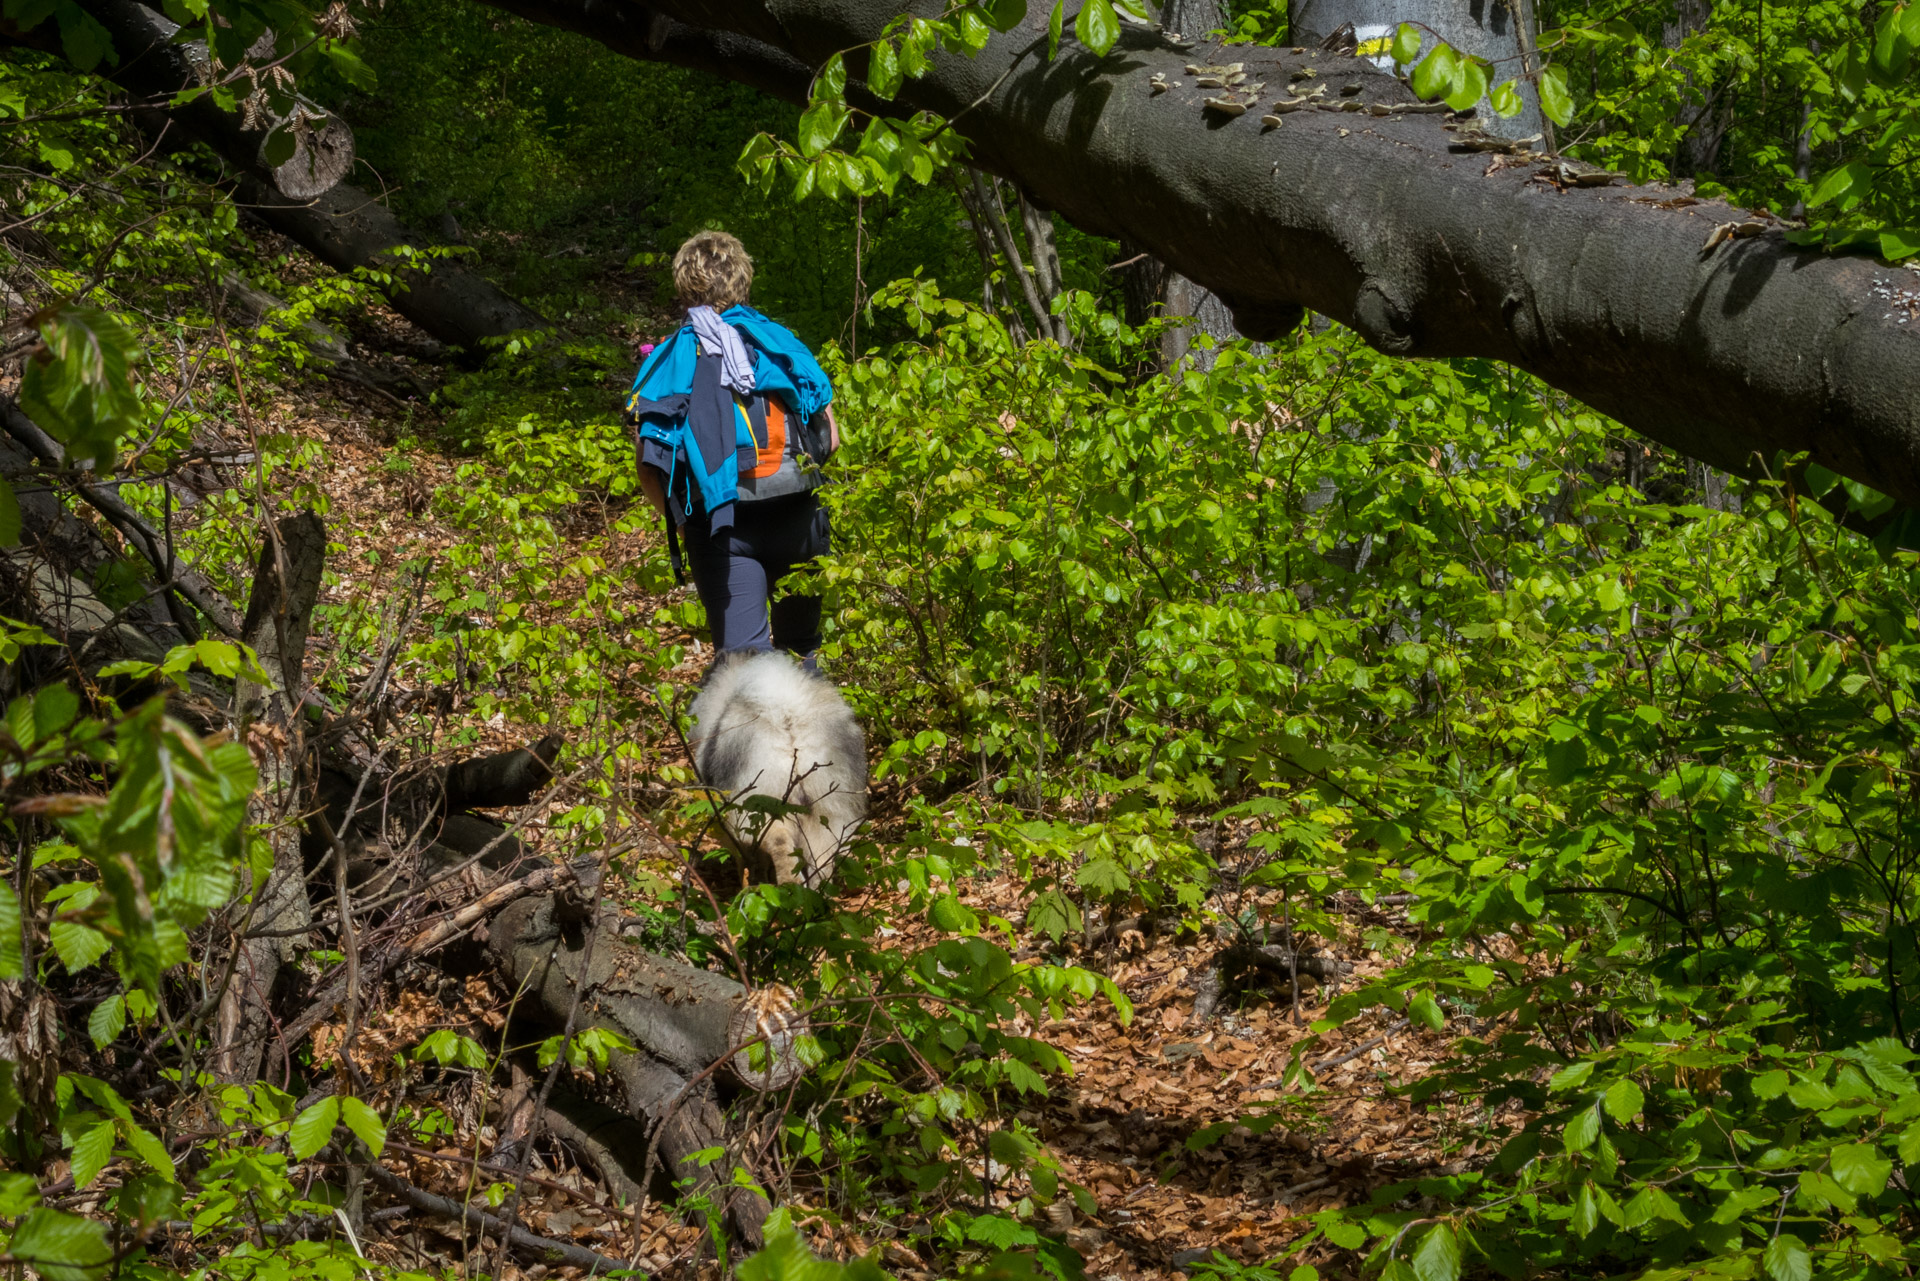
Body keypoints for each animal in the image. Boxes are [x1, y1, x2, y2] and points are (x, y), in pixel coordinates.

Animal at [687, 652, 867, 891]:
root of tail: (788, 717)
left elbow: (744, 861)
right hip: (829, 814)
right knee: (822, 863)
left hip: (763, 808)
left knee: (781, 846)